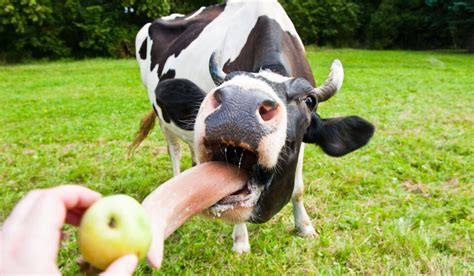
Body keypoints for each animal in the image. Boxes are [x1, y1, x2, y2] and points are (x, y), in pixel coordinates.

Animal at [131, 0, 374, 254]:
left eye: (310, 100)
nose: (240, 105)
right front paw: (240, 241)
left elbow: (298, 187)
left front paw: (305, 227)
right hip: (160, 114)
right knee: (174, 150)